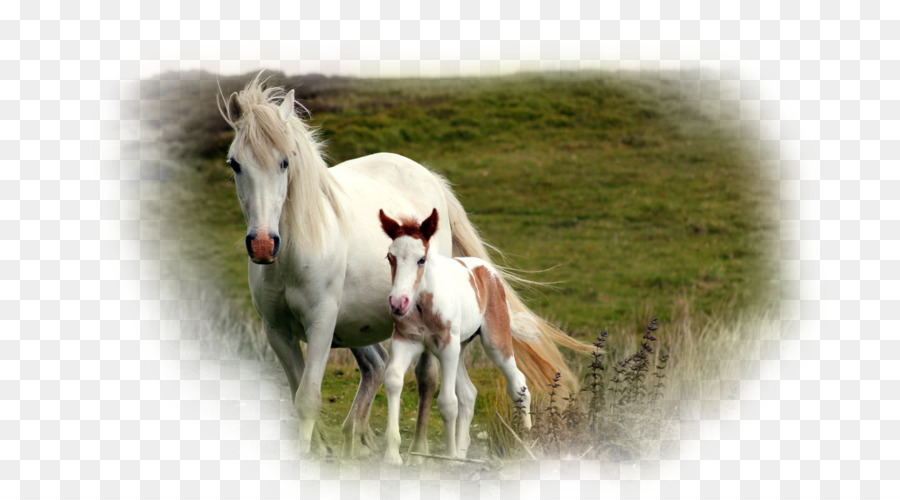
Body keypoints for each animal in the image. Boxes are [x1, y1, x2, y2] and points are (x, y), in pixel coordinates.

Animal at [378, 208, 532, 464]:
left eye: (421, 259)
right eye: (390, 257)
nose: (398, 303)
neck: (423, 305)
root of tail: (487, 270)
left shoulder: (447, 347)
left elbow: (448, 403)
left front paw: (448, 458)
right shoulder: (405, 341)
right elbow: (393, 380)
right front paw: (392, 455)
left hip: (494, 341)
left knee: (518, 383)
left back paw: (527, 443)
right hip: (460, 348)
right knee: (469, 394)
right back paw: (462, 454)